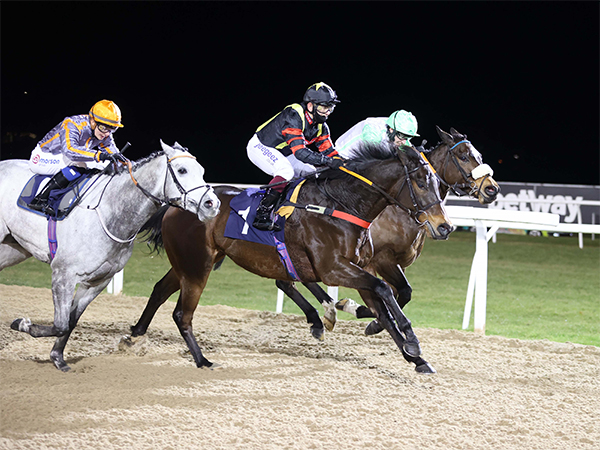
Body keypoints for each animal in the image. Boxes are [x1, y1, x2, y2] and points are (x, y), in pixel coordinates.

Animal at [0, 140, 221, 371]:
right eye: (182, 170)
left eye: (202, 171)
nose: (212, 204)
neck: (111, 213)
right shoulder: (63, 273)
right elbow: (60, 324)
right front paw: (22, 324)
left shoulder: (97, 281)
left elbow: (70, 322)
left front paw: (57, 357)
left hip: (12, 250)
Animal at [129, 143, 453, 373]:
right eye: (421, 182)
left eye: (437, 183)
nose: (444, 226)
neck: (341, 205)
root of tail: (176, 204)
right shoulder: (334, 269)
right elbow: (385, 290)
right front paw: (411, 339)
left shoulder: (359, 269)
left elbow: (384, 308)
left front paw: (416, 359)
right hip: (198, 265)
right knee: (181, 314)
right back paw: (202, 360)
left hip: (186, 264)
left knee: (159, 291)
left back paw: (133, 335)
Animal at [282, 126, 501, 335]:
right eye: (464, 157)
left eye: (479, 156)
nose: (492, 189)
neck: (398, 211)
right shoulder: (378, 260)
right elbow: (397, 292)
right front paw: (361, 313)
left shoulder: (395, 263)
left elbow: (401, 293)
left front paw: (368, 318)